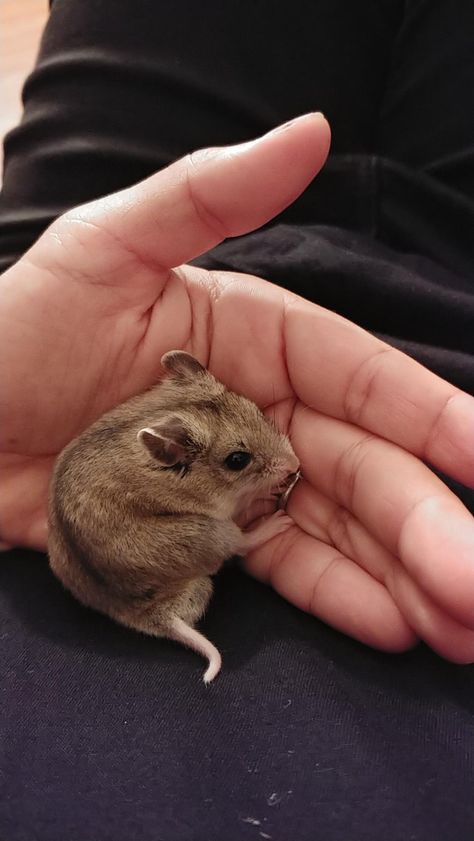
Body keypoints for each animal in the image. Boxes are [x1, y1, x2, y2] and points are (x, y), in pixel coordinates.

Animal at [48, 350, 300, 684]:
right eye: (237, 460)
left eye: (256, 409)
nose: (295, 464)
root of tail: (149, 613)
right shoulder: (219, 508)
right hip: (207, 531)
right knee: (241, 543)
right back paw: (279, 522)